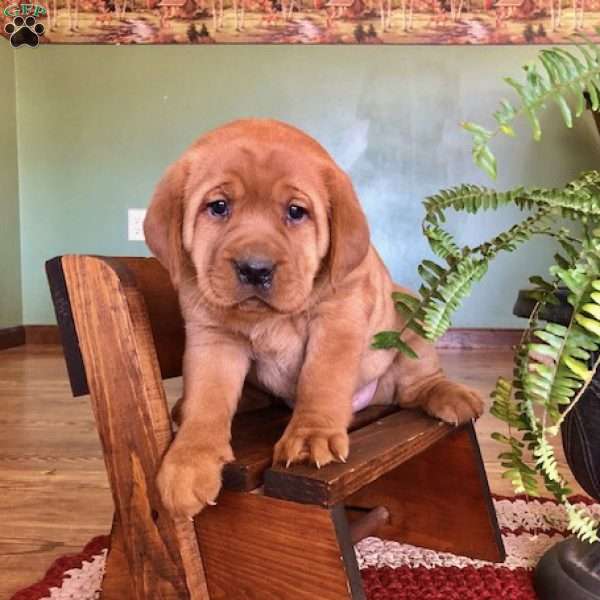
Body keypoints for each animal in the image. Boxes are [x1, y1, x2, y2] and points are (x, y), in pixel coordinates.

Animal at [142, 119, 482, 516]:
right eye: (219, 206)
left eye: (295, 212)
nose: (254, 269)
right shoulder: (212, 335)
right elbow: (205, 399)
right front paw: (189, 460)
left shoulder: (338, 319)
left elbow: (321, 379)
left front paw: (310, 436)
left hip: (410, 322)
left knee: (416, 387)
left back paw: (451, 394)